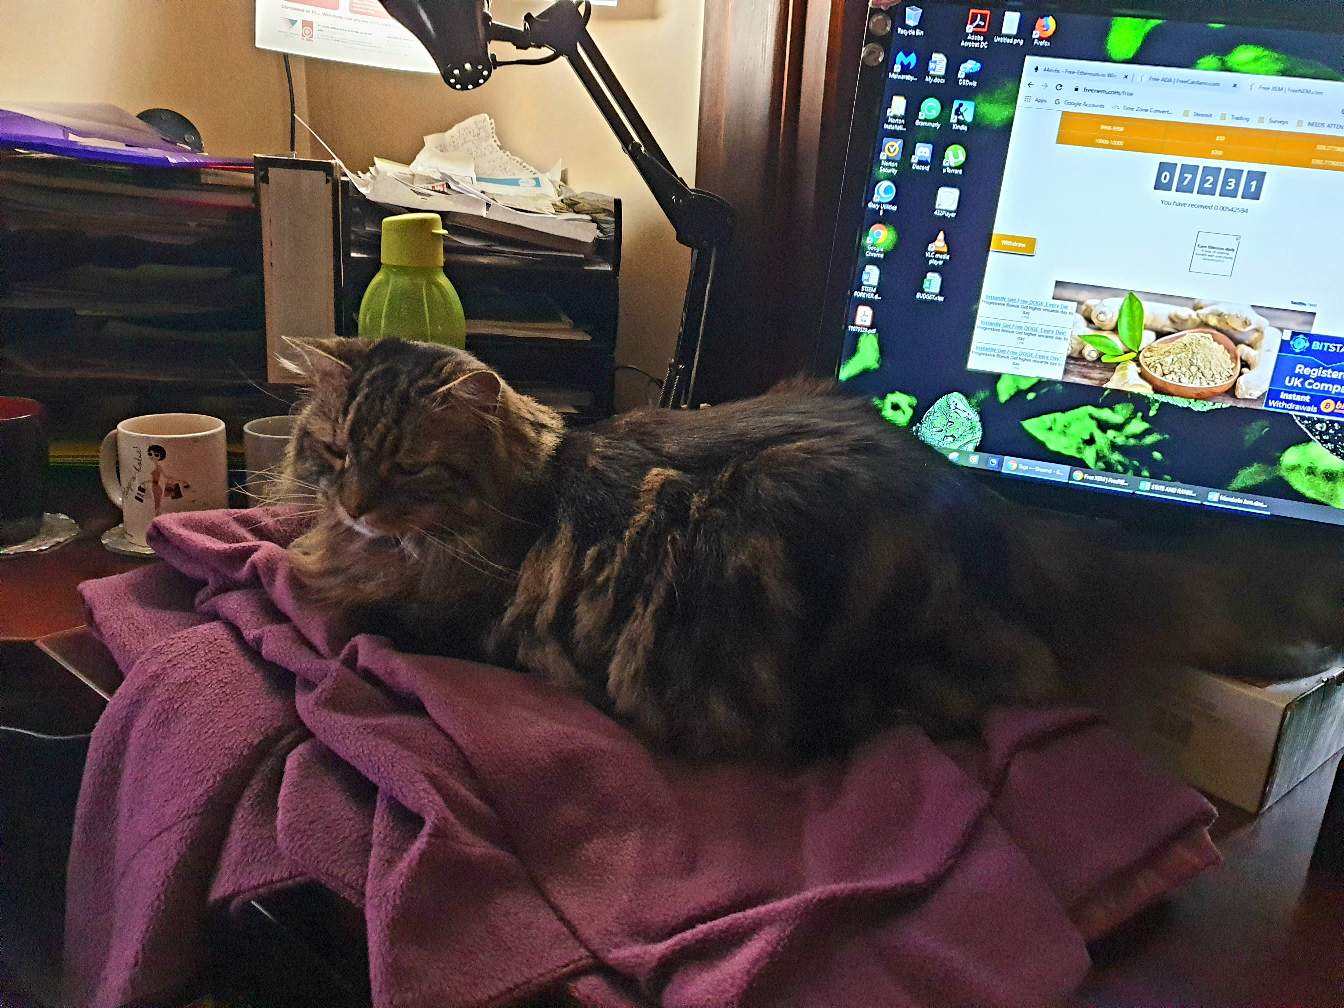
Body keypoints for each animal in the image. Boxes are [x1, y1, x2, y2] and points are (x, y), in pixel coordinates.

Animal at [280, 337, 1344, 762]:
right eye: (334, 452)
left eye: (409, 468)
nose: (356, 502)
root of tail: (995, 517)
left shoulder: (458, 622)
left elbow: (344, 615)